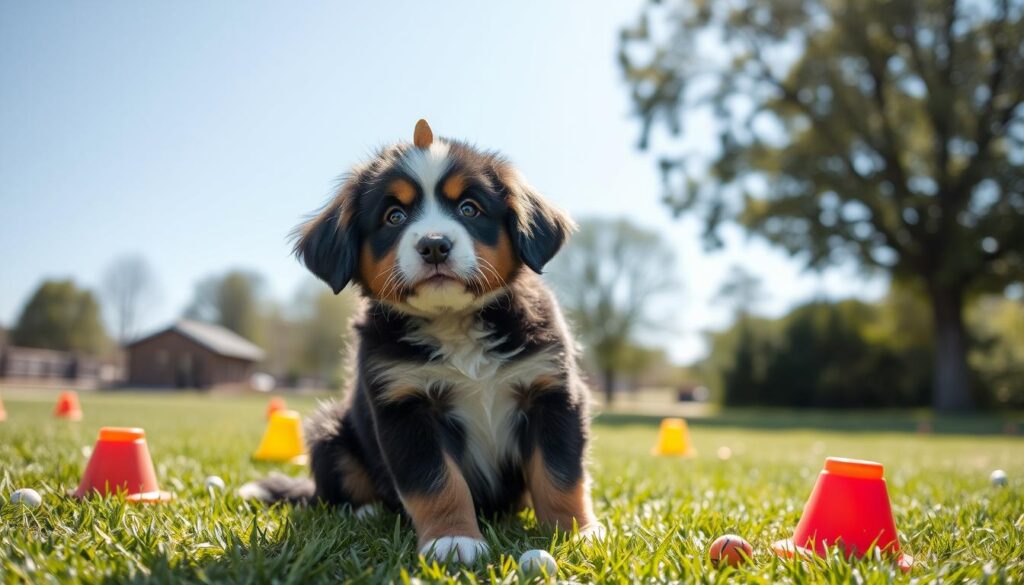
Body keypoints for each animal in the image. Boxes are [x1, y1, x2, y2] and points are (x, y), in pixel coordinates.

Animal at [241, 121, 598, 565]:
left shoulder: (551, 391)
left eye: (469, 208)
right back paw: (367, 512)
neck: (453, 322)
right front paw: (453, 539)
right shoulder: (405, 404)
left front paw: (574, 533)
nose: (434, 245)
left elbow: (559, 474)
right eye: (393, 216)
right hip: (329, 430)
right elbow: (437, 482)